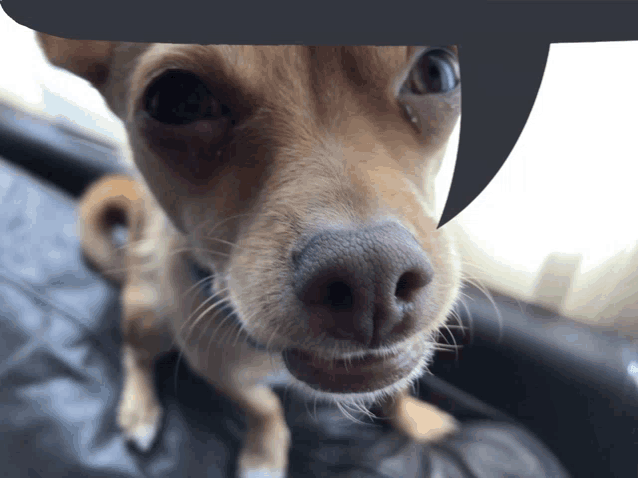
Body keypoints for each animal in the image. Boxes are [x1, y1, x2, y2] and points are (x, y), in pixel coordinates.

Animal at [37, 34, 462, 478]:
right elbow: (264, 407)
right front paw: (264, 457)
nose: (370, 275)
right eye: (178, 100)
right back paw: (140, 409)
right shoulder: (217, 370)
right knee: (134, 352)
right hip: (148, 314)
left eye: (437, 73)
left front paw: (416, 418)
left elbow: (398, 387)